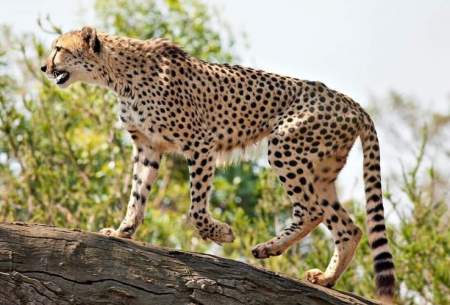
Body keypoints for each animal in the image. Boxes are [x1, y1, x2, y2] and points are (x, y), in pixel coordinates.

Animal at [41, 26, 394, 302]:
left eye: (59, 48)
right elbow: (137, 196)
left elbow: (196, 208)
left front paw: (221, 233)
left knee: (312, 211)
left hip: (285, 148)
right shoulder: (148, 147)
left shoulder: (200, 143)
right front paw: (122, 231)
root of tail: (351, 102)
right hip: (320, 171)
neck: (117, 73)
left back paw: (269, 248)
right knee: (349, 228)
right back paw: (325, 278)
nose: (44, 66)